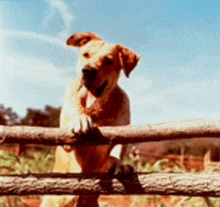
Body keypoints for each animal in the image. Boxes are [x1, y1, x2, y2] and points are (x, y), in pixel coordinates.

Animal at [41, 32, 140, 207]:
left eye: (108, 61)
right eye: (86, 55)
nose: (87, 71)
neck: (96, 109)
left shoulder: (123, 132)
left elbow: (116, 151)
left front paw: (119, 164)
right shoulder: (67, 139)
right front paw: (80, 119)